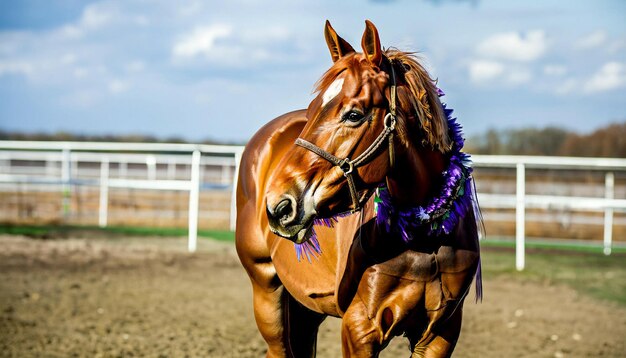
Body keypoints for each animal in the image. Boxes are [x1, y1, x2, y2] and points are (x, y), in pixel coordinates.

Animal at [236, 20, 480, 358]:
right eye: (311, 110)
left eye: (354, 114)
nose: (279, 206)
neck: (424, 233)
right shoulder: (360, 328)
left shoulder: (441, 333)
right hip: (266, 291)